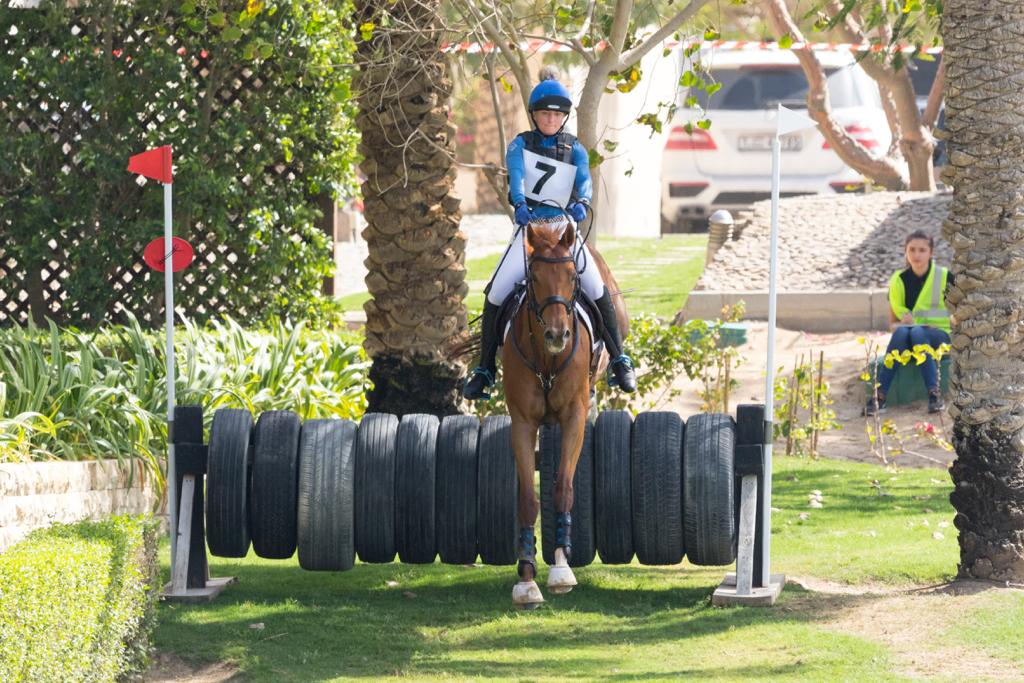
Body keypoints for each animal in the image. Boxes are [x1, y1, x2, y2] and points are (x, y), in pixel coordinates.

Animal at [505, 220, 626, 610]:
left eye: (573, 277)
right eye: (534, 278)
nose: (558, 334)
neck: (548, 360)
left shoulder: (574, 418)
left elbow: (562, 488)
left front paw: (560, 568)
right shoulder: (523, 423)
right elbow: (527, 499)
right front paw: (527, 578)